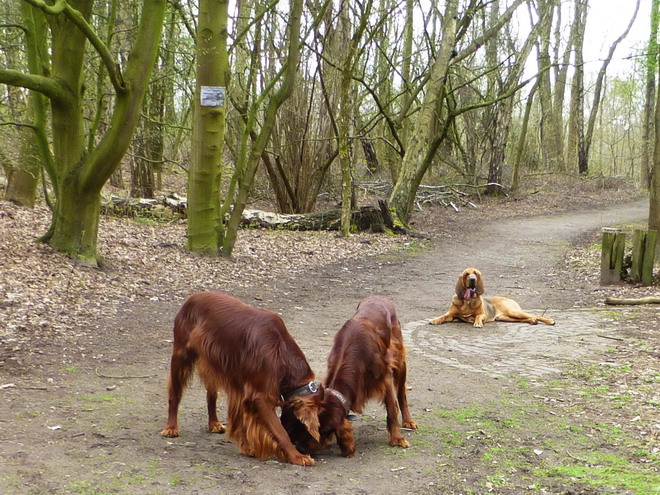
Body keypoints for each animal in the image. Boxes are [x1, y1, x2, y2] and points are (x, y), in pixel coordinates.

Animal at [161, 291, 321, 466]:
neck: (281, 349)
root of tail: (193, 296)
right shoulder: (260, 396)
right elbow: (280, 431)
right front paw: (297, 456)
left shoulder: (242, 388)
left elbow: (242, 418)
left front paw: (246, 447)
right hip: (181, 357)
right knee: (174, 395)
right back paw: (171, 427)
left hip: (213, 363)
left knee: (211, 395)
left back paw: (214, 423)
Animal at [281, 296, 417, 457]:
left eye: (325, 430)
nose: (301, 448)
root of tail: (379, 297)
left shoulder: (385, 377)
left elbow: (392, 408)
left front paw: (397, 438)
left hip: (399, 358)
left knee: (401, 393)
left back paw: (408, 421)